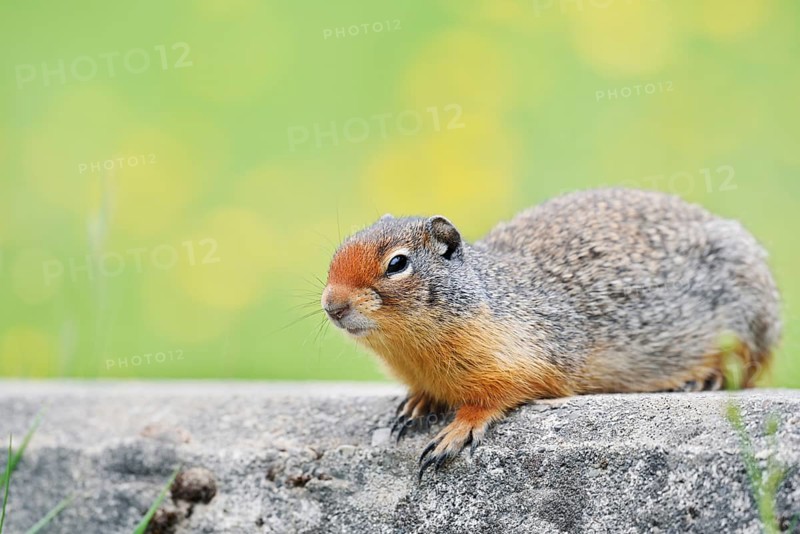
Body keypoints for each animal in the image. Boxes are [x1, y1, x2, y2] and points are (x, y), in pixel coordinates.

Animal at [320, 188, 782, 480]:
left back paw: (704, 377)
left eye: (397, 264)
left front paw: (457, 430)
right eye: (338, 251)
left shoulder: (523, 355)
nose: (331, 305)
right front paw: (416, 404)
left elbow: (496, 396)